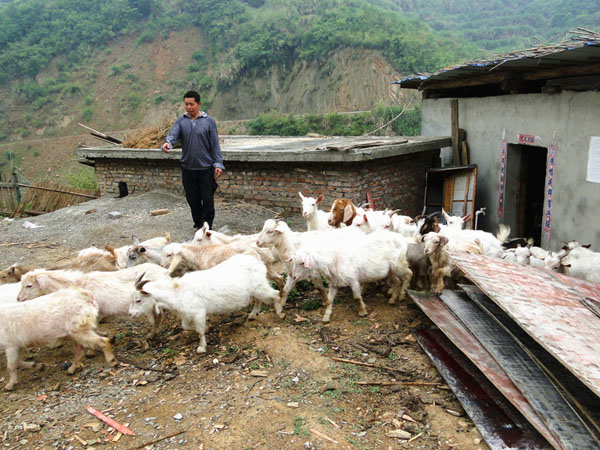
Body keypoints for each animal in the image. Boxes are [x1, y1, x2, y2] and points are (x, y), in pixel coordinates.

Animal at [129, 255, 278, 354]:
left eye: (138, 300)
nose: (131, 314)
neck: (176, 291)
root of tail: (257, 260)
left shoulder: (198, 312)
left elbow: (199, 331)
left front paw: (201, 347)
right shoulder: (186, 314)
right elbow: (186, 326)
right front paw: (208, 327)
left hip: (260, 287)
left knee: (275, 294)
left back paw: (279, 311)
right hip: (255, 289)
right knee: (259, 299)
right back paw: (253, 314)